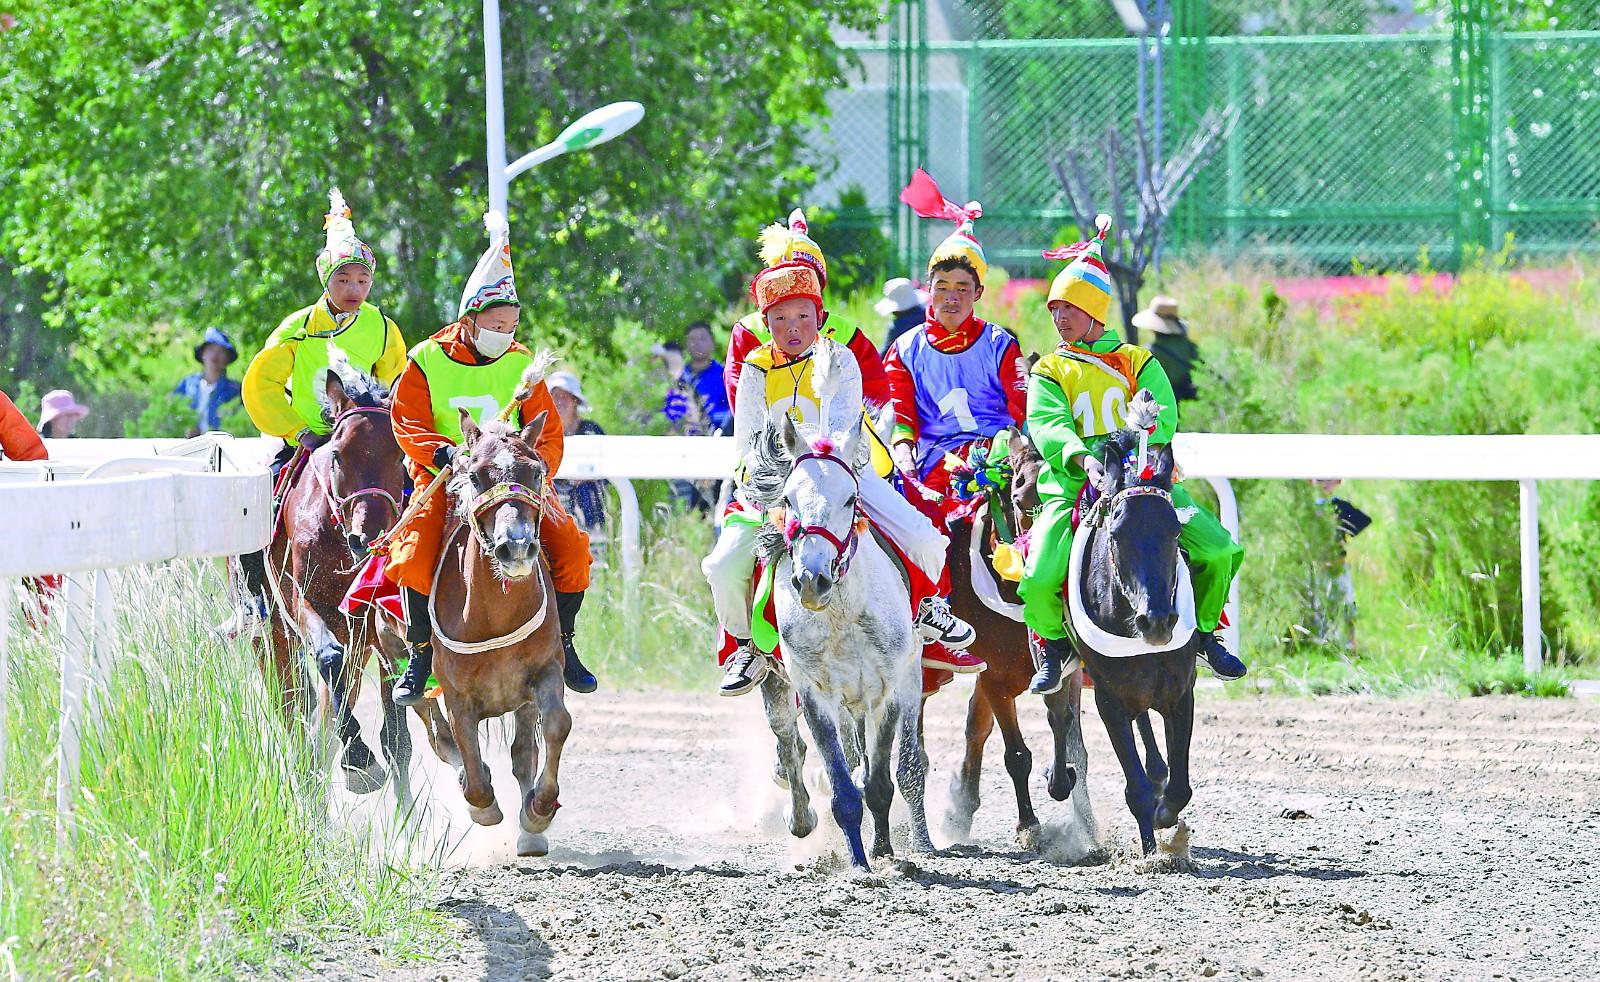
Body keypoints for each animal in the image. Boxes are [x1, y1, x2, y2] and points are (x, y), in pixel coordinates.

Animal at [261, 361, 411, 802]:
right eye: (339, 455)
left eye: (399, 454)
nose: (367, 537)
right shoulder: (306, 602)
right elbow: (327, 659)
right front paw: (359, 759)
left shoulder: (379, 628)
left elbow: (397, 738)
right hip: (275, 637)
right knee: (296, 710)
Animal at [409, 406, 570, 858]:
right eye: (477, 475)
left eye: (536, 472)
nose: (515, 547)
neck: (494, 613)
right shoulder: (456, 694)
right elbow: (466, 752)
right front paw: (481, 803)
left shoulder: (544, 671)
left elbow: (556, 726)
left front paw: (539, 810)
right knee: (441, 740)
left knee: (522, 751)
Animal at [746, 412, 934, 870]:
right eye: (789, 500)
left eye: (850, 499)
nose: (811, 581)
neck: (842, 616)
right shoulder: (815, 692)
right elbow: (843, 785)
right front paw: (859, 863)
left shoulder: (887, 690)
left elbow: (879, 781)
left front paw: (885, 853)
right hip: (782, 685)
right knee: (790, 745)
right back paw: (801, 817)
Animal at [943, 429, 1097, 851]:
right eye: (1017, 497)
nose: (1039, 555)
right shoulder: (994, 677)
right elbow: (1016, 755)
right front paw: (1029, 824)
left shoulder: (1062, 671)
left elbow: (1064, 729)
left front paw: (1062, 782)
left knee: (975, 727)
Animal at [1069, 391, 1199, 855]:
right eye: (1116, 534)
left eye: (1175, 531)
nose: (1157, 621)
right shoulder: (1108, 698)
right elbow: (1136, 787)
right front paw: (1150, 852)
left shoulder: (1182, 690)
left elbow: (1180, 786)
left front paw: (1166, 818)